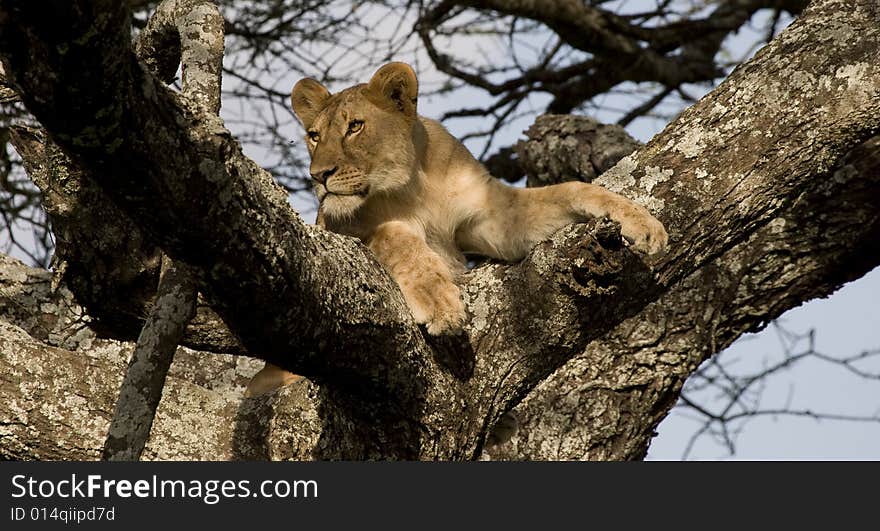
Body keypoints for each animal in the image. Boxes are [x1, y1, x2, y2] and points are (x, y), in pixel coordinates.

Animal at [242, 62, 668, 396]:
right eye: (314, 135)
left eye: (355, 127)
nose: (319, 176)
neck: (413, 186)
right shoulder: (345, 235)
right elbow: (398, 237)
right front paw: (441, 304)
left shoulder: (494, 216)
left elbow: (570, 190)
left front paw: (642, 222)